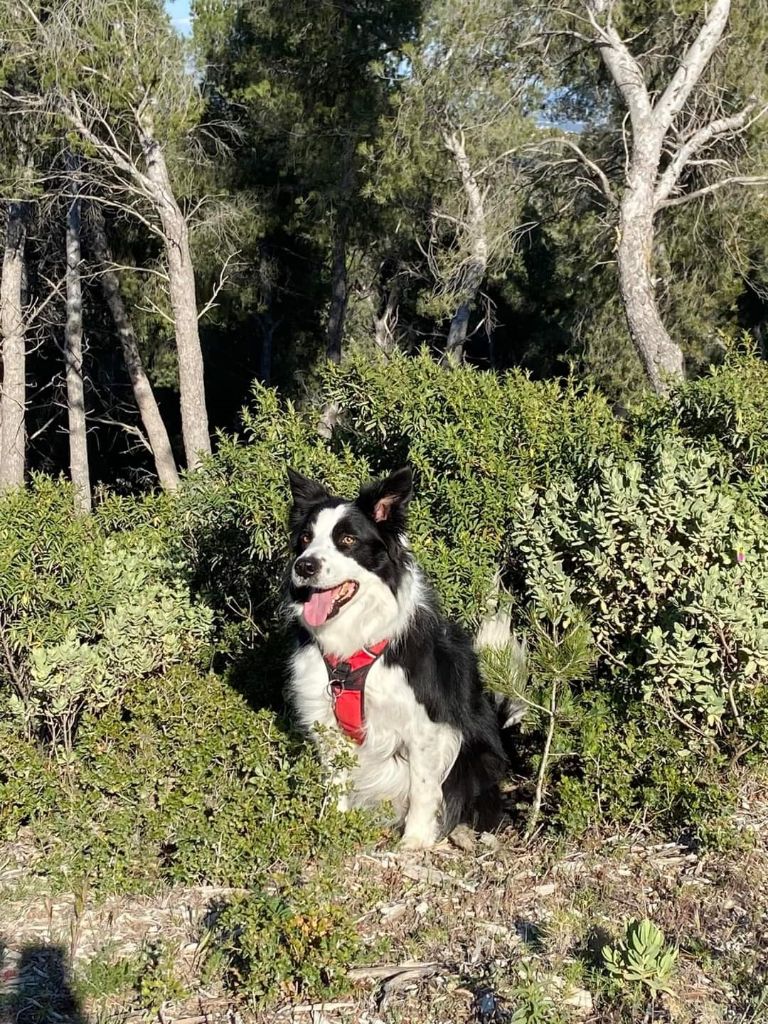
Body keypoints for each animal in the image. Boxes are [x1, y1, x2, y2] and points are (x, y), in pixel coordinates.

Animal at [286, 466, 520, 847]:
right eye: (305, 538)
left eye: (347, 540)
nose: (304, 566)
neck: (352, 645)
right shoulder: (326, 719)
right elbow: (336, 782)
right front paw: (332, 828)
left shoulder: (424, 724)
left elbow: (424, 788)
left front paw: (415, 841)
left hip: (475, 758)